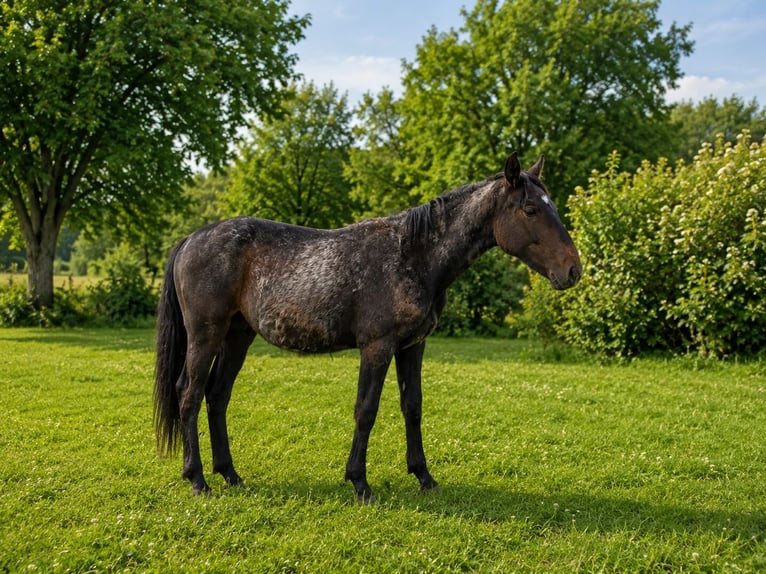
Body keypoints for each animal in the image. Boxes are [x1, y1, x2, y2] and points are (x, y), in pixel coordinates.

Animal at [154, 152, 581, 502]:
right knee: (189, 394)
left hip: (237, 337)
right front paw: (359, 483)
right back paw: (197, 480)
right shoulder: (377, 347)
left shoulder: (412, 346)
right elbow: (366, 410)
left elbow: (412, 406)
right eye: (530, 210)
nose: (573, 270)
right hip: (206, 335)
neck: (413, 255)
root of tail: (193, 238)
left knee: (217, 396)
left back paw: (230, 474)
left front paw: (424, 476)